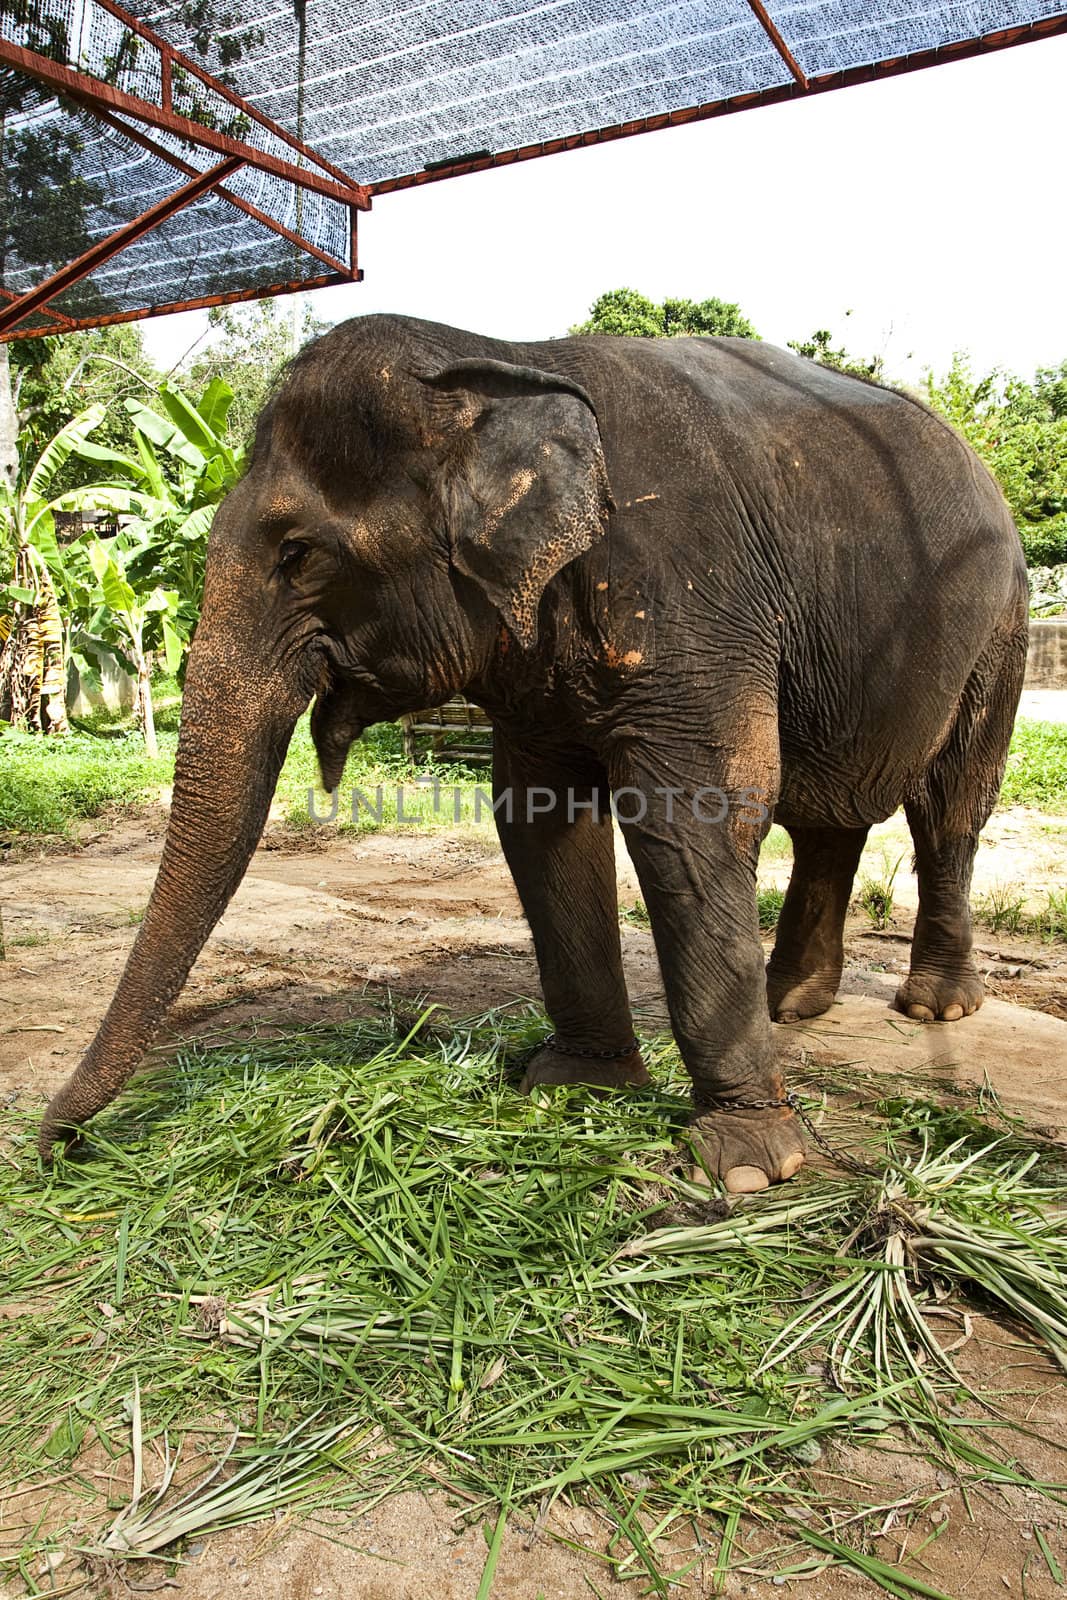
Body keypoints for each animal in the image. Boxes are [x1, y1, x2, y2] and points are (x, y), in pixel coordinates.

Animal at [37, 315, 1030, 1190]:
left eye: (298, 554)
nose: (51, 1146)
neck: (495, 359)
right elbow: (540, 820)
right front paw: (572, 1089)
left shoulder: (692, 601)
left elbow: (694, 820)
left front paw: (747, 1167)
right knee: (831, 814)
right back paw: (790, 1002)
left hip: (1002, 622)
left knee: (948, 804)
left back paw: (934, 1005)